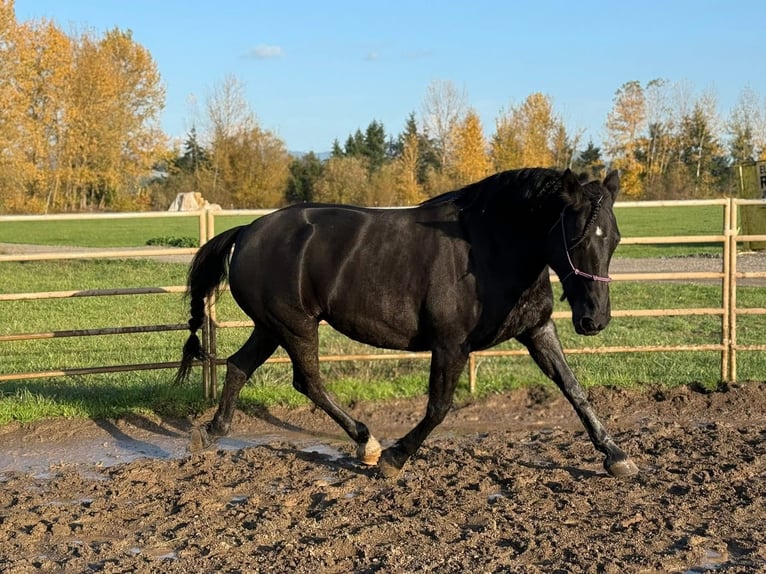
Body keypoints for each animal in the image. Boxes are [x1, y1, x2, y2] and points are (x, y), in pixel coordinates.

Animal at [175, 167, 639, 478]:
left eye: (615, 238)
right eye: (577, 237)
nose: (594, 319)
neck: (489, 246)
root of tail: (248, 230)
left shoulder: (538, 330)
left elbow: (574, 389)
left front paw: (616, 456)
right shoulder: (451, 345)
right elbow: (439, 407)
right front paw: (394, 459)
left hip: (271, 327)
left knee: (239, 366)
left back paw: (211, 431)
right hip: (295, 326)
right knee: (307, 382)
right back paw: (368, 443)